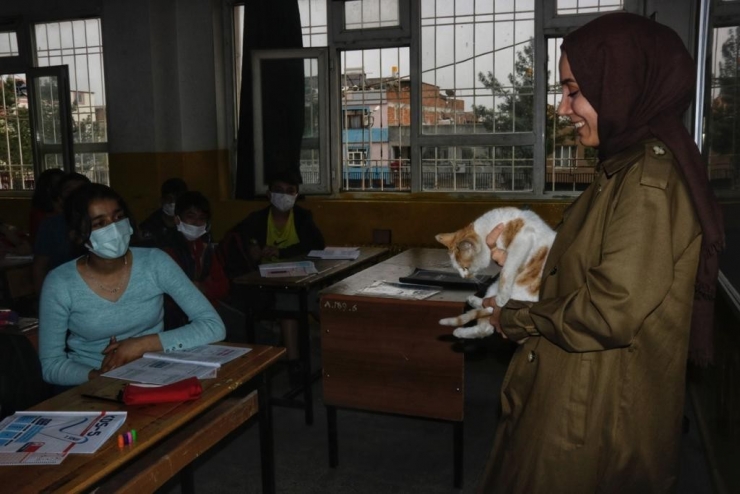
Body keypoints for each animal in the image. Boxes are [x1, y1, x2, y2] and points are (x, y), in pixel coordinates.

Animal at [434, 206, 556, 340]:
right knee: (485, 326)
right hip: (493, 287)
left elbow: (507, 270)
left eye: (465, 268)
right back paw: (466, 317)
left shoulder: (522, 241)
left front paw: (501, 298)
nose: (463, 277)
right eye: (457, 269)